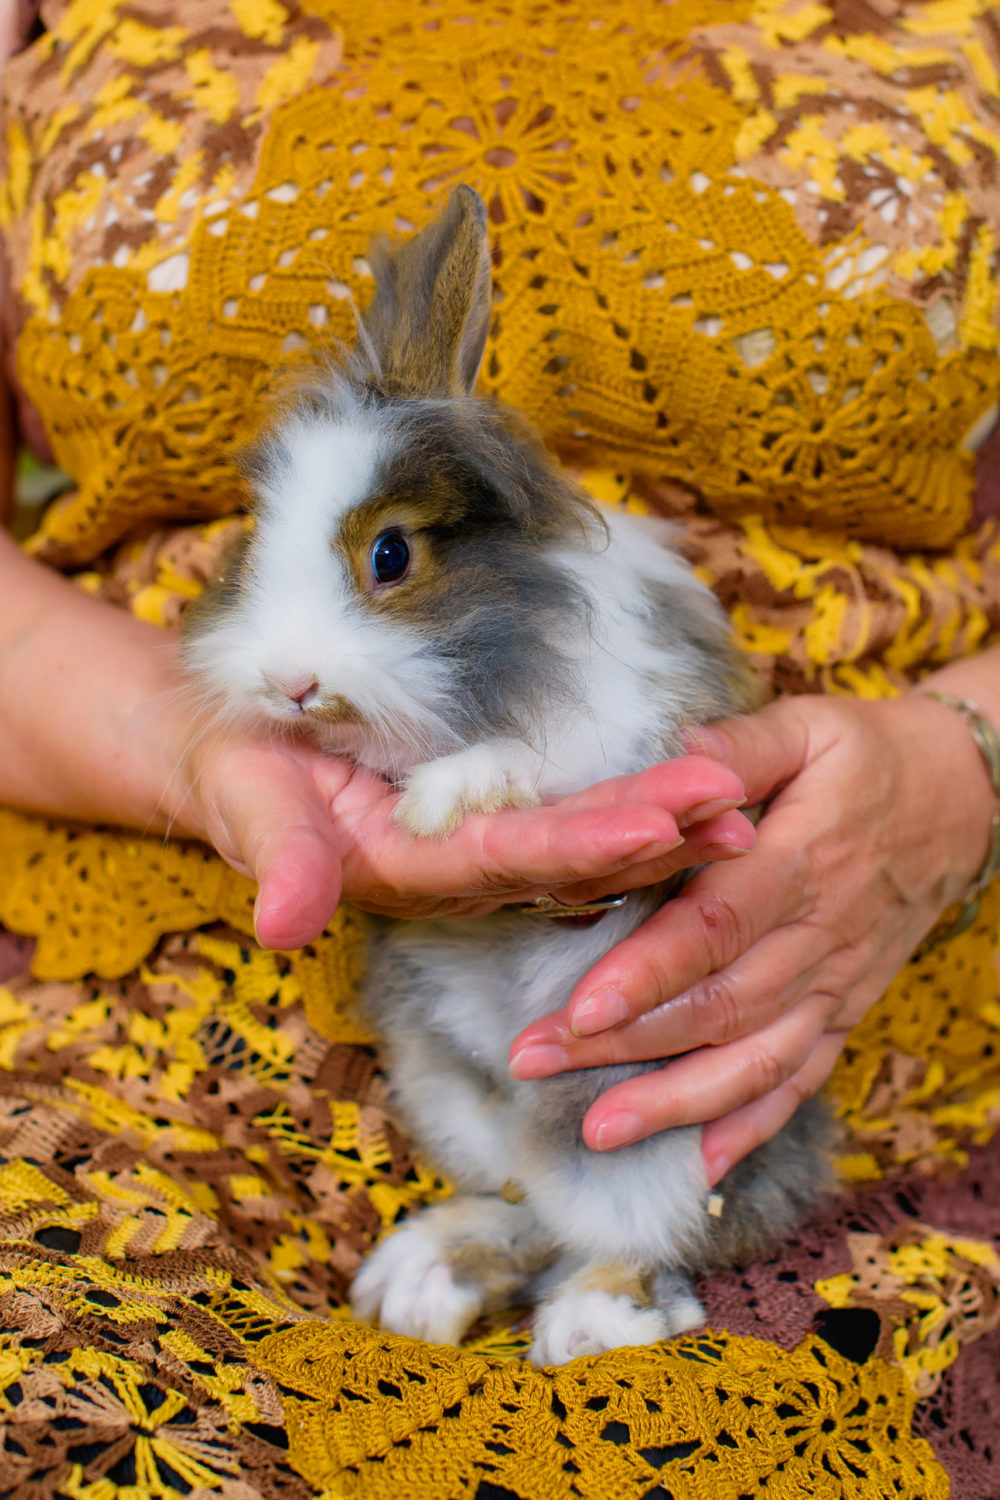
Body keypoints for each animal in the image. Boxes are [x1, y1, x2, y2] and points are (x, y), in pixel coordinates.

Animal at [182, 185, 831, 1366]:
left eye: (391, 556)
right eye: (253, 546)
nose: (289, 682)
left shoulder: (638, 728)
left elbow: (540, 758)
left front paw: (444, 800)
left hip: (635, 1118)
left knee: (635, 1229)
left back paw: (588, 1324)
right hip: (457, 1096)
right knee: (531, 1202)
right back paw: (423, 1282)